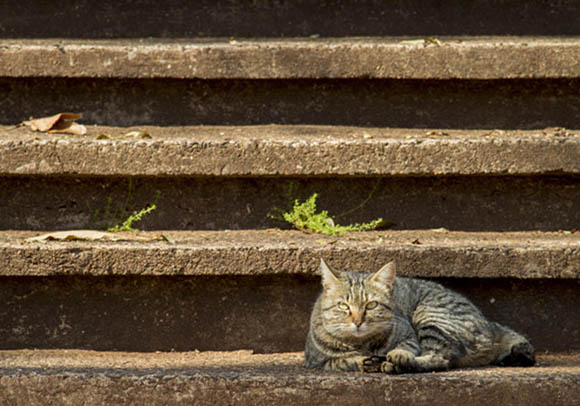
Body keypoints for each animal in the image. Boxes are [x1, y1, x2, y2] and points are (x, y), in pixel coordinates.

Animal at [304, 258, 536, 372]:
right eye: (343, 306)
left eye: (371, 305)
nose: (358, 321)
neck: (363, 344)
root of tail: (491, 324)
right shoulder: (316, 361)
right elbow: (343, 360)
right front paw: (362, 360)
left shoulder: (409, 334)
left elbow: (406, 346)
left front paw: (398, 355)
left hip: (431, 316)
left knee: (439, 359)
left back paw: (396, 363)